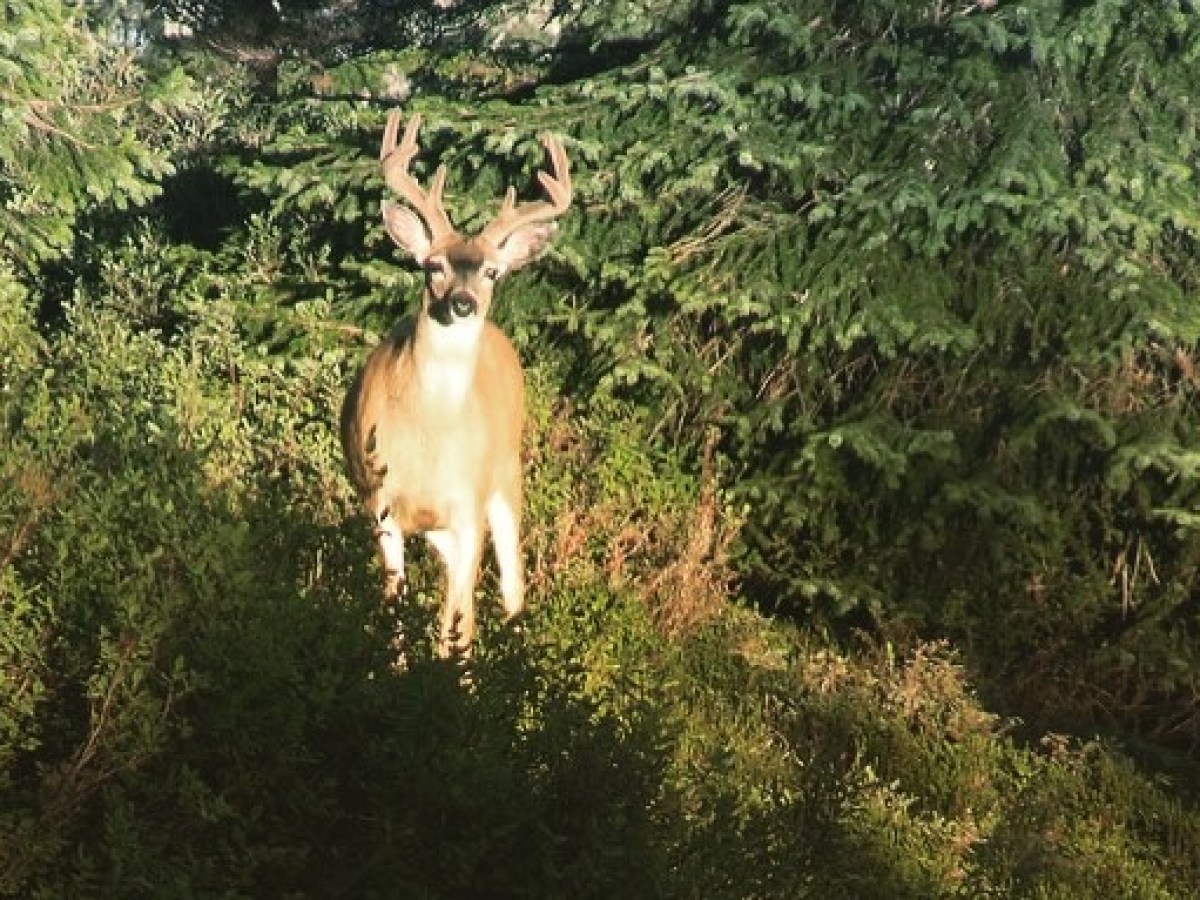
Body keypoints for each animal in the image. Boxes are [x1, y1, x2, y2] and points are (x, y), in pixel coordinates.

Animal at [340, 110, 572, 657]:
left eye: (491, 271)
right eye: (434, 266)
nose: (462, 303)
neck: (429, 434)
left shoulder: (469, 507)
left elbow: (457, 622)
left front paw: (454, 677)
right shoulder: (381, 504)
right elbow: (396, 606)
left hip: (506, 478)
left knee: (509, 586)